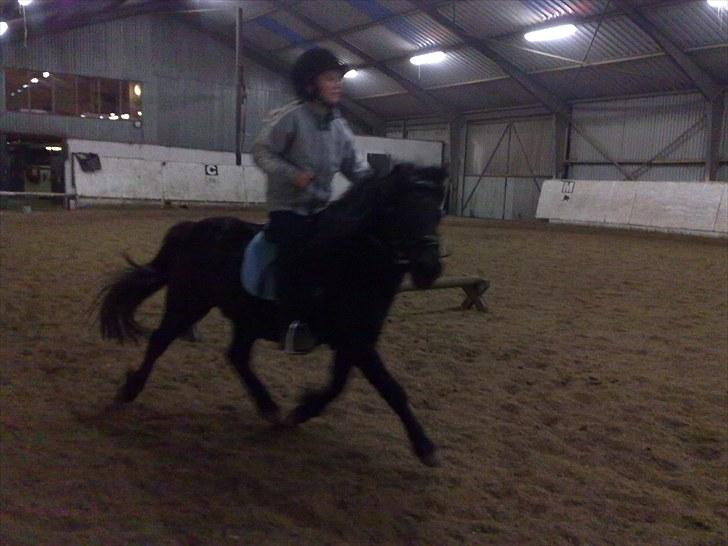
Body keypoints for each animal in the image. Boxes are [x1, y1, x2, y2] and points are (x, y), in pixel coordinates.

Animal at [97, 163, 447, 466]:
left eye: (437, 212)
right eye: (400, 210)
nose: (428, 268)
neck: (352, 261)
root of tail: (193, 228)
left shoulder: (355, 342)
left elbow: (338, 385)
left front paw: (302, 410)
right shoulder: (356, 343)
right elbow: (391, 389)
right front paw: (425, 447)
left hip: (245, 318)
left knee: (237, 356)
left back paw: (269, 408)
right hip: (188, 303)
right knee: (159, 341)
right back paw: (129, 391)